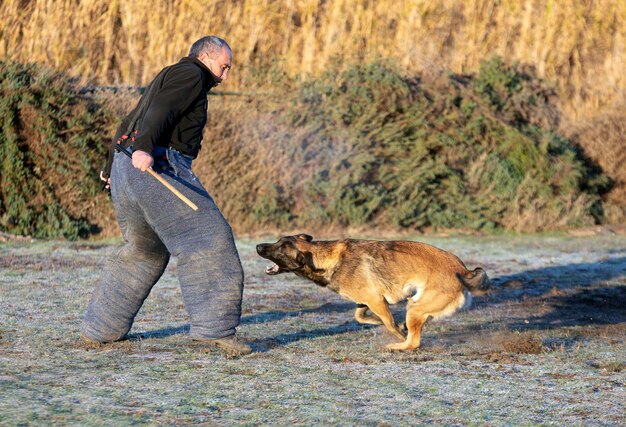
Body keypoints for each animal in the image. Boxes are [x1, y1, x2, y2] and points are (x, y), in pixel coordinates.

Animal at [255, 234, 488, 352]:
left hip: (414, 307)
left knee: (414, 341)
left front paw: (397, 330)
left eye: (280, 249)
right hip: (418, 306)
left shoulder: (376, 300)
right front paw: (377, 323)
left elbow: (389, 324)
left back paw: (398, 345)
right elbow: (360, 317)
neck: (324, 257)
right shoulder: (364, 300)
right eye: (277, 241)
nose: (258, 246)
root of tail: (462, 269)